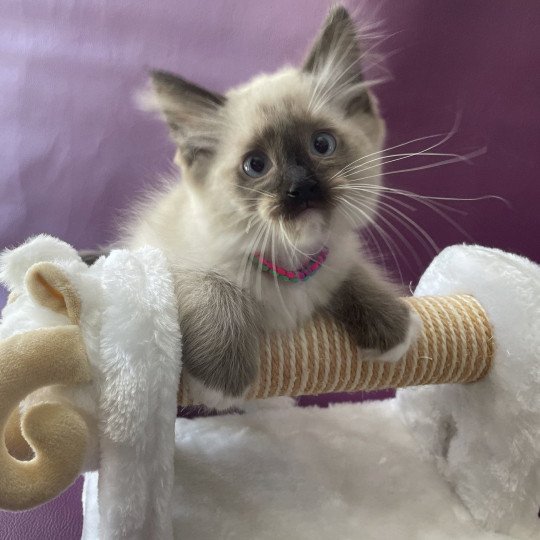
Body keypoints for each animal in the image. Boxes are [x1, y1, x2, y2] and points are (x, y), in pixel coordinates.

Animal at [123, 6, 422, 408]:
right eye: (256, 165)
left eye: (322, 145)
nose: (301, 188)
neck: (289, 267)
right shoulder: (163, 261)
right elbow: (213, 287)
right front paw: (221, 381)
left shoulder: (334, 257)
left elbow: (352, 272)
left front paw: (394, 327)